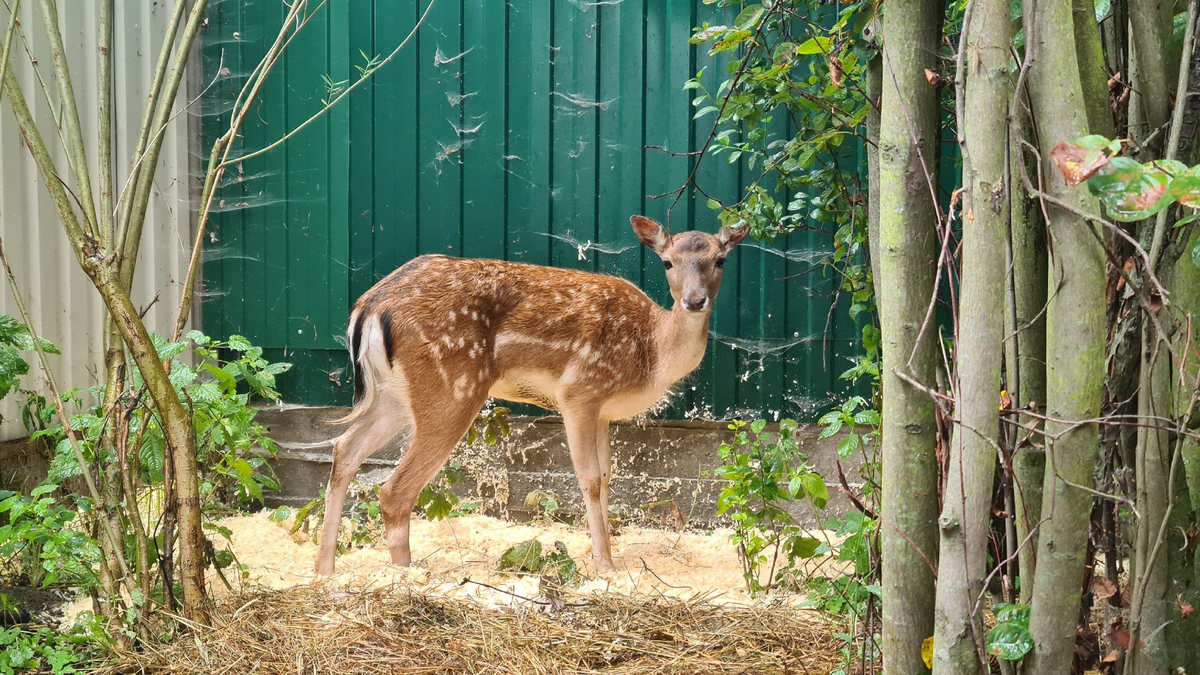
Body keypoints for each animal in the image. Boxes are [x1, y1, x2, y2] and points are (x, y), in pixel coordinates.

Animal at [314, 212, 744, 569]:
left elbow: (608, 476)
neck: (652, 355)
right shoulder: (580, 390)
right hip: (451, 389)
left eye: (720, 260)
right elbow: (589, 478)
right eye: (667, 261)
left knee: (344, 449)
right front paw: (605, 565)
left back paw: (325, 570)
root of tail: (370, 307)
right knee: (394, 490)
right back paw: (407, 575)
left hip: (395, 396)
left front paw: (604, 551)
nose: (694, 300)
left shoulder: (603, 411)